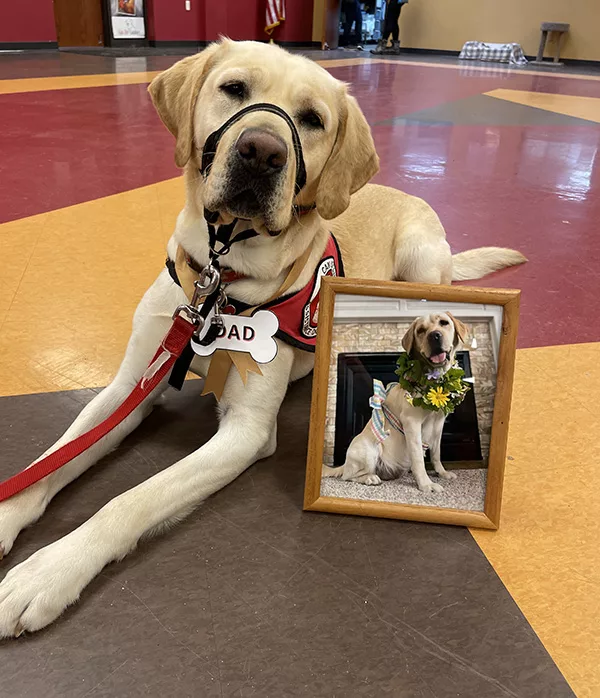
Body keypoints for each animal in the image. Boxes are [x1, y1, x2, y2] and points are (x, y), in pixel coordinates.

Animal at [326, 312, 472, 492]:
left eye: (444, 323)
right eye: (421, 330)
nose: (435, 335)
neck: (433, 379)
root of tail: (345, 464)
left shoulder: (438, 424)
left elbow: (436, 453)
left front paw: (441, 472)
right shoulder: (411, 423)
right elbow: (418, 459)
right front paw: (426, 484)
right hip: (369, 449)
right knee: (348, 476)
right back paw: (369, 478)